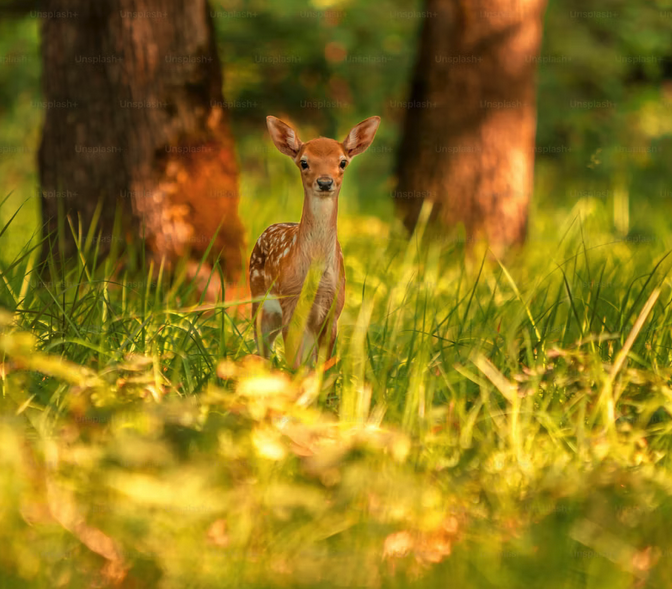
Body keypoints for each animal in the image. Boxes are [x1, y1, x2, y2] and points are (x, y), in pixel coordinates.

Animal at [249, 115, 380, 367]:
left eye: (343, 162)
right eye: (304, 162)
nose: (325, 182)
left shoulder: (333, 310)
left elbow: (320, 368)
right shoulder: (291, 306)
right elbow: (294, 366)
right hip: (259, 301)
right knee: (262, 351)